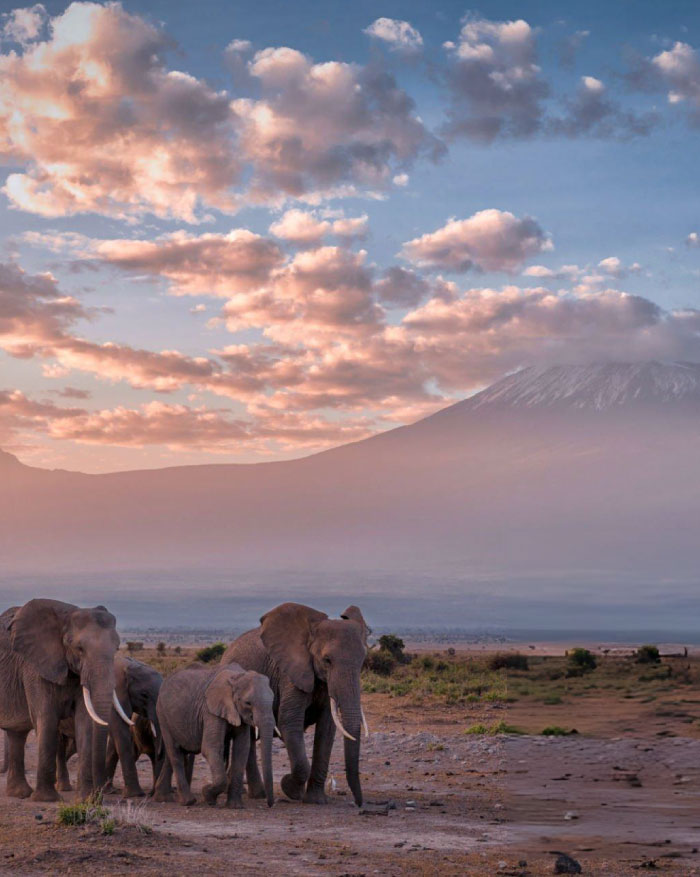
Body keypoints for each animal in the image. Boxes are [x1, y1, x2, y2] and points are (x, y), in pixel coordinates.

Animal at [0, 598, 130, 801]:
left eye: (116, 648)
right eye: (79, 649)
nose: (99, 795)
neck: (67, 614)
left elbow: (84, 721)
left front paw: (86, 799)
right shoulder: (35, 666)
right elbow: (46, 717)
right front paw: (46, 799)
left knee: (17, 733)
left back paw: (20, 794)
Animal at [154, 662, 275, 808]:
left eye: (273, 700)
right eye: (248, 703)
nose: (270, 804)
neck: (237, 677)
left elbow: (241, 749)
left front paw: (235, 806)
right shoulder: (210, 710)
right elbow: (210, 747)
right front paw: (207, 795)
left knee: (171, 755)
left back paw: (163, 798)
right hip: (162, 714)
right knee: (175, 753)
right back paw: (188, 801)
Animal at [221, 602, 370, 808]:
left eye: (362, 661)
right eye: (327, 660)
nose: (359, 803)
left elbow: (327, 729)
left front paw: (316, 801)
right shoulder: (289, 674)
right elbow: (289, 721)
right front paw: (289, 788)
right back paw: (258, 794)